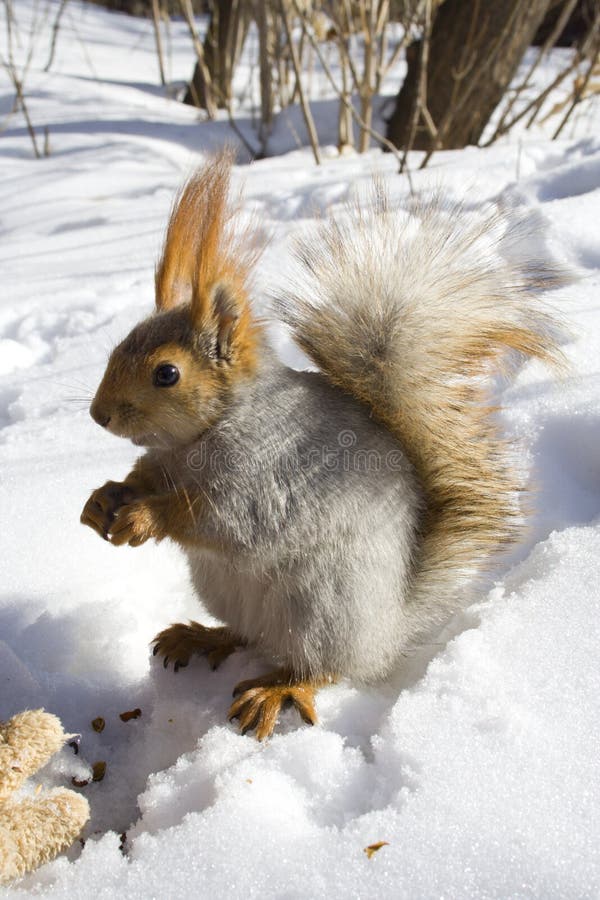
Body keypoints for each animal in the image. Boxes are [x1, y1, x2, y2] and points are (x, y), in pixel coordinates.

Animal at [79, 151, 568, 740]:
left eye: (166, 373)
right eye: (118, 347)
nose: (98, 414)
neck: (203, 435)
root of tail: (389, 630)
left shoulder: (265, 483)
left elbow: (218, 518)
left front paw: (143, 517)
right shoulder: (163, 463)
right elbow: (144, 478)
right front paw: (105, 498)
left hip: (323, 612)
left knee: (322, 669)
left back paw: (278, 690)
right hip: (236, 596)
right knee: (247, 636)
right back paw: (202, 636)